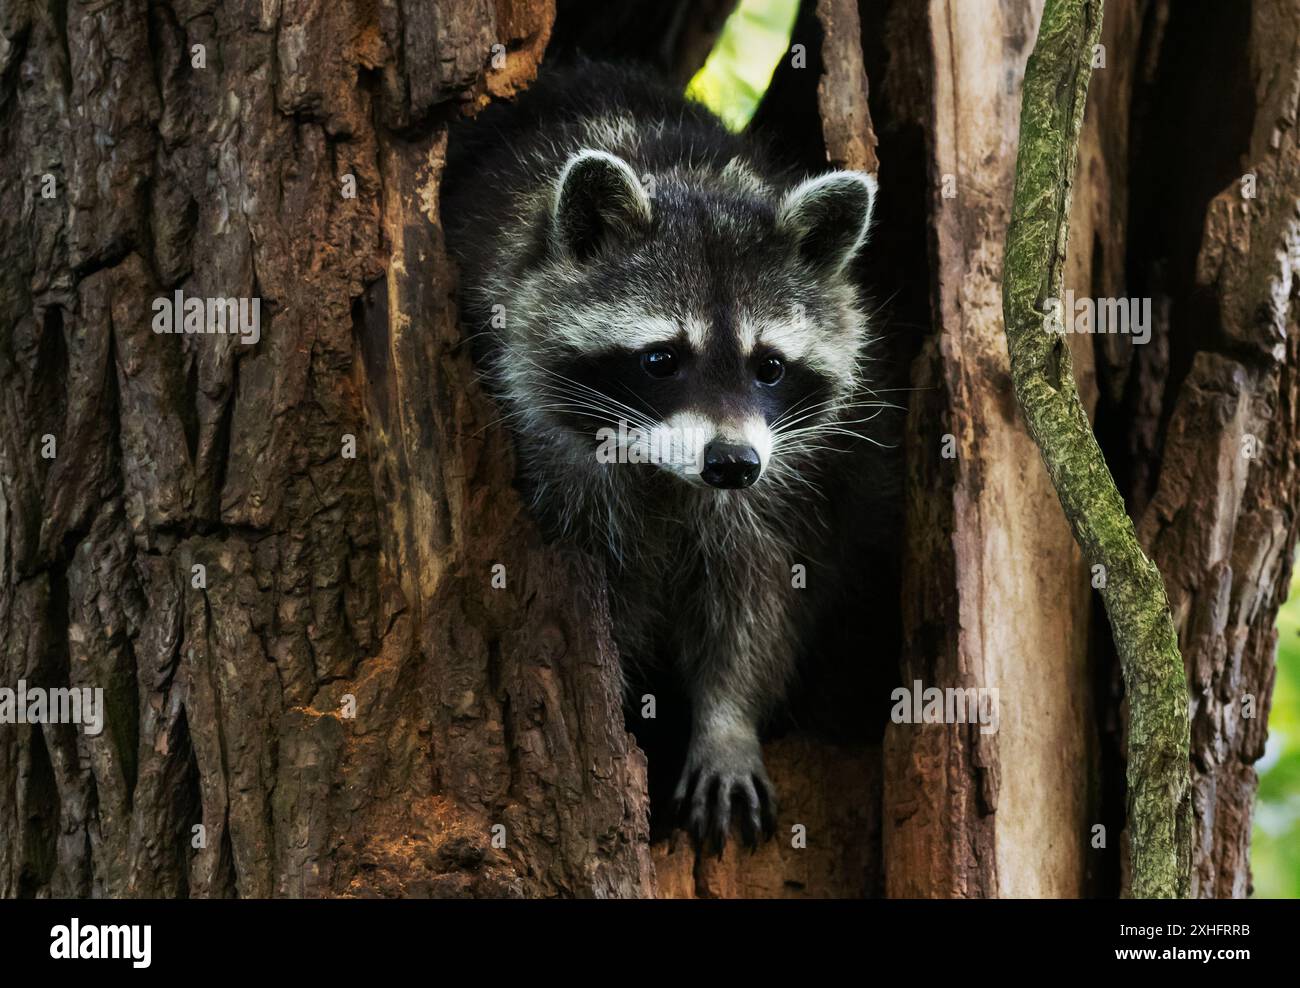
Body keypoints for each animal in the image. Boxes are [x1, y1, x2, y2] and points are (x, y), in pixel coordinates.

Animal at [443, 61, 895, 851]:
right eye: (661, 360)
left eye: (769, 366)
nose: (731, 463)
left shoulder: (779, 491)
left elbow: (759, 599)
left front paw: (728, 723)